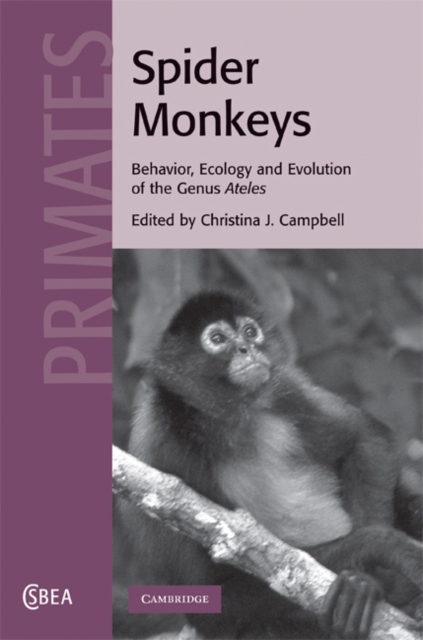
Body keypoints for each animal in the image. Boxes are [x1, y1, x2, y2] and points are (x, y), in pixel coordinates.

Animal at [116, 290, 422, 639]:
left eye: (250, 332)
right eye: (217, 339)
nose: (246, 349)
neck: (229, 422)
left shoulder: (284, 390)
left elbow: (366, 438)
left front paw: (368, 579)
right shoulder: (164, 450)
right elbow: (215, 603)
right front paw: (378, 556)